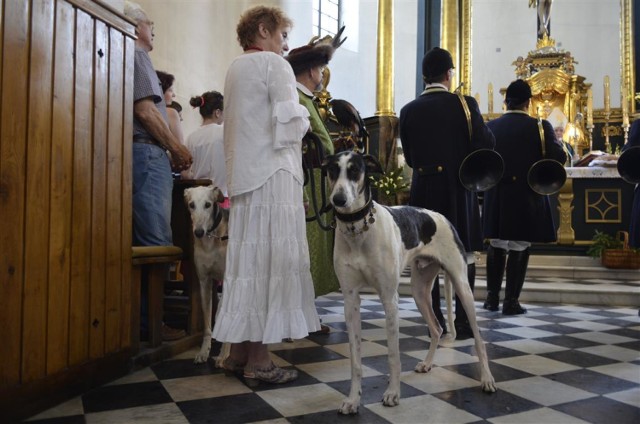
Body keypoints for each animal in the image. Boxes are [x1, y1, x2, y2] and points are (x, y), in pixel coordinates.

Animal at [182, 186, 230, 364]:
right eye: (191, 205)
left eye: (208, 204)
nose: (198, 232)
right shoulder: (205, 281)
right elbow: (207, 324)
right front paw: (204, 352)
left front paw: (224, 355)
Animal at [322, 152, 498, 414]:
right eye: (333, 170)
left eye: (354, 170)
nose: (339, 200)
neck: (358, 230)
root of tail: (442, 217)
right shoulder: (350, 300)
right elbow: (355, 359)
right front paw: (353, 399)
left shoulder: (389, 299)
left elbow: (394, 355)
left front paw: (393, 394)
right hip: (419, 292)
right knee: (436, 328)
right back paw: (426, 364)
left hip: (462, 288)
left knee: (479, 339)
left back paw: (487, 378)